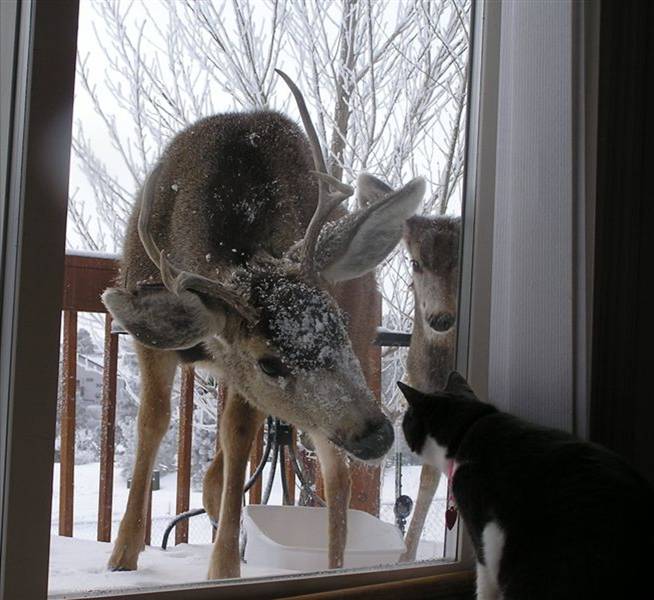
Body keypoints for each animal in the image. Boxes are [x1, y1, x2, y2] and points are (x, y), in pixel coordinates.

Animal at [102, 71, 426, 580]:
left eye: (335, 323)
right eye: (269, 363)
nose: (376, 434)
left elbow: (237, 436)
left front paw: (222, 568)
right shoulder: (157, 342)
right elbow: (154, 422)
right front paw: (123, 554)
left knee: (334, 473)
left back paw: (331, 567)